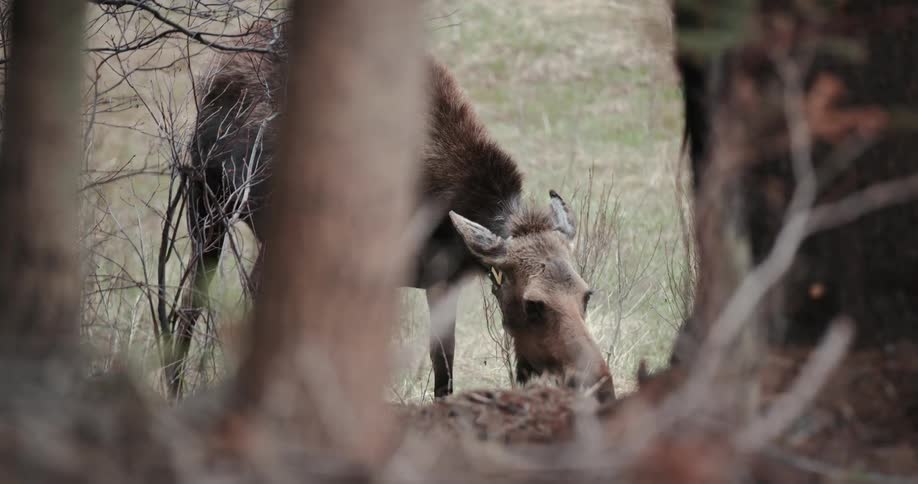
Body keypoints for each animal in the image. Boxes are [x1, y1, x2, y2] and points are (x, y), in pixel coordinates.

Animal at [174, 26, 613, 400]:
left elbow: (443, 372)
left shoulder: (441, 283)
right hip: (208, 205)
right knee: (192, 302)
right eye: (533, 304)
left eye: (586, 294)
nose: (602, 388)